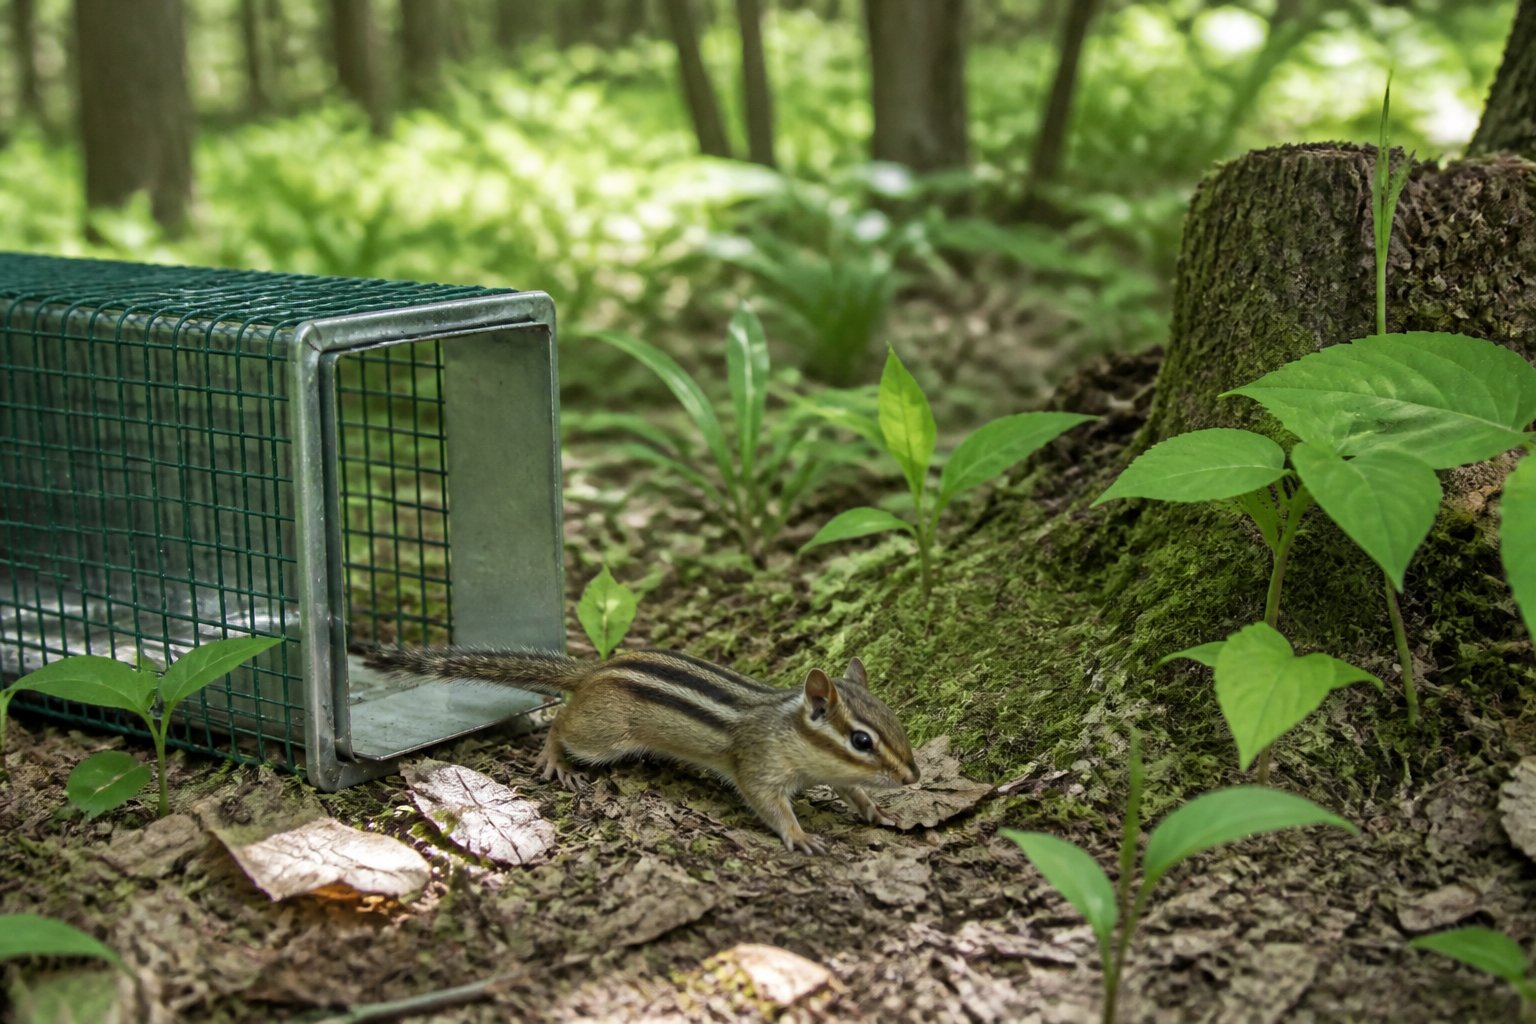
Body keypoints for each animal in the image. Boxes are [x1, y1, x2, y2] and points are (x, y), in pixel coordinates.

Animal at [360, 646, 921, 854]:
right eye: (861, 740)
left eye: (895, 723)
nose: (913, 778)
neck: (790, 731)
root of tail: (592, 671)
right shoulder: (758, 766)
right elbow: (768, 805)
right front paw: (799, 834)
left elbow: (854, 793)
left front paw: (880, 812)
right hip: (602, 738)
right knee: (561, 723)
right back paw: (554, 758)